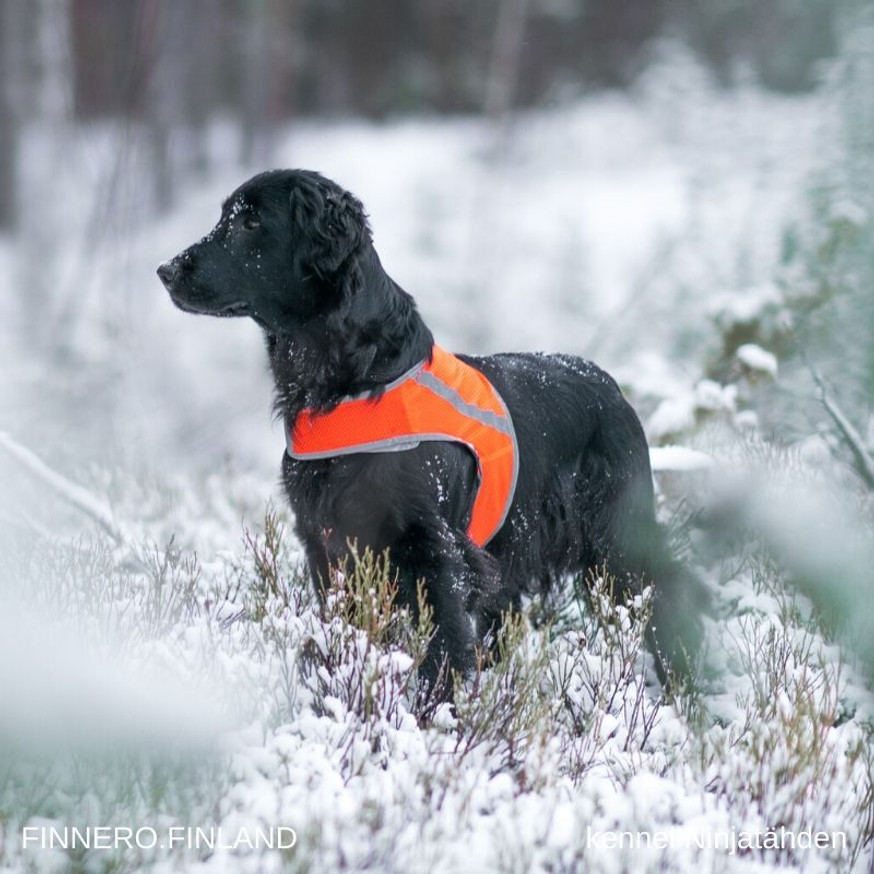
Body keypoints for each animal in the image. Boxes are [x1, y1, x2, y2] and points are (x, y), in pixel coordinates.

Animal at [155, 169, 700, 688]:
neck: (355, 382)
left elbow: (444, 648)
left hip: (619, 544)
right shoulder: (326, 543)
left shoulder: (434, 553)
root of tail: (612, 388)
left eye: (251, 222)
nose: (166, 270)